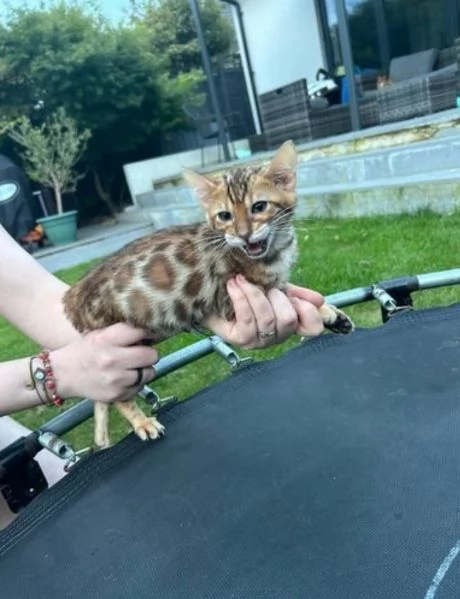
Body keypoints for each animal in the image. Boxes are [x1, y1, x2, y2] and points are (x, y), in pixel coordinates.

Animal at [63, 142, 354, 450]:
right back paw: (141, 422)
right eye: (225, 216)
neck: (276, 250)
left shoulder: (271, 283)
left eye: (259, 207)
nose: (243, 234)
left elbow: (296, 294)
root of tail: (72, 300)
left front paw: (330, 313)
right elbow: (292, 300)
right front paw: (323, 312)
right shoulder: (234, 299)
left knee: (100, 399)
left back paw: (102, 436)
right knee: (118, 397)